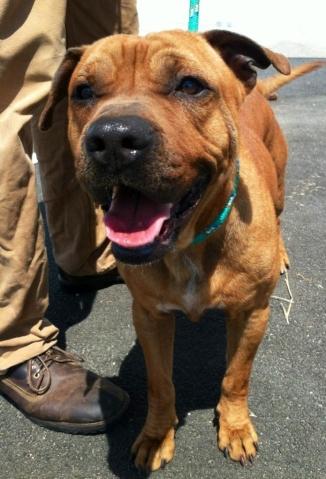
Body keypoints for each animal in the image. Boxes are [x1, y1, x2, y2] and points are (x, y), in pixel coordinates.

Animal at [40, 31, 318, 472]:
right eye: (82, 92)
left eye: (190, 85)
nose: (113, 138)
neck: (190, 246)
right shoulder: (150, 317)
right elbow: (160, 383)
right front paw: (157, 436)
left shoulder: (252, 314)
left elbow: (236, 377)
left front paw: (235, 426)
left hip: (280, 183)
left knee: (279, 212)